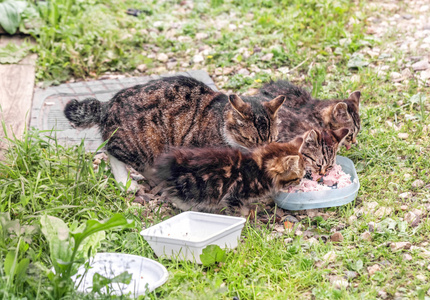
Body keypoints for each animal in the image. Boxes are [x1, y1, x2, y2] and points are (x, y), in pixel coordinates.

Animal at [63, 76, 286, 189]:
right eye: (249, 139)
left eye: (272, 139)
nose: (261, 151)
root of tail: (108, 104)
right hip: (142, 143)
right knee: (111, 150)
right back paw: (127, 183)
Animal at [155, 136, 306, 216]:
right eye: (297, 177)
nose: (300, 182)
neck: (259, 167)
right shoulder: (235, 194)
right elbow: (237, 209)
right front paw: (244, 218)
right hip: (194, 188)